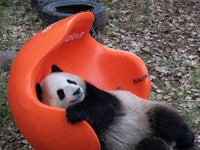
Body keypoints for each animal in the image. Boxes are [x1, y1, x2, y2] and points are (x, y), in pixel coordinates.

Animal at [36, 64, 194, 150]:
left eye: (70, 81)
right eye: (60, 93)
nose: (77, 91)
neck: (82, 100)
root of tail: (169, 143)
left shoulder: (96, 93)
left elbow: (106, 111)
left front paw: (75, 113)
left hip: (147, 112)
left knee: (166, 120)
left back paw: (187, 141)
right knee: (150, 145)